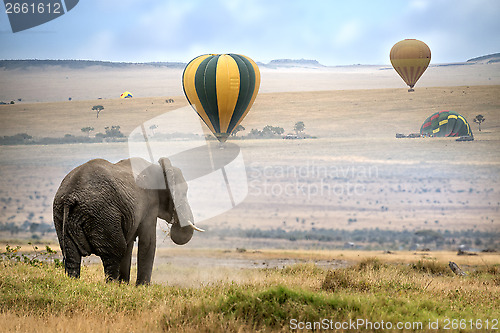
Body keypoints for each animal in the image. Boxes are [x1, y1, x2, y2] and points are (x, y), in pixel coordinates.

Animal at [53, 157, 203, 284]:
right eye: (183, 193)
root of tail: (70, 197)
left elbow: (130, 243)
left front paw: (124, 285)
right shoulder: (150, 203)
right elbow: (148, 241)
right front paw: (142, 287)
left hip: (61, 216)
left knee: (72, 255)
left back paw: (74, 282)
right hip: (103, 215)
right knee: (115, 251)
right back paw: (111, 285)